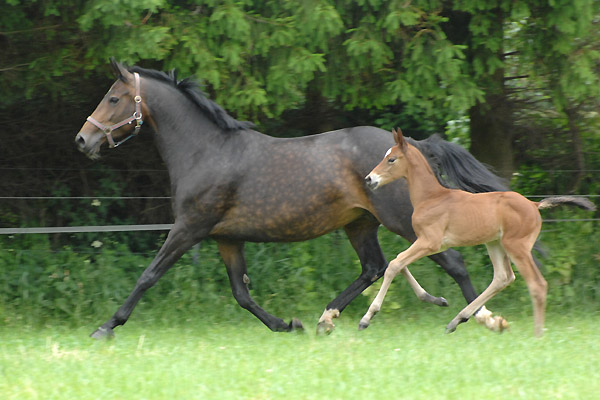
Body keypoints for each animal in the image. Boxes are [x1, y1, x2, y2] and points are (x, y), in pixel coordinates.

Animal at [72, 61, 508, 340]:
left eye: (114, 98)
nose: (82, 140)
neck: (206, 151)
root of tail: (409, 146)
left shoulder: (189, 228)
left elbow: (148, 276)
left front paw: (105, 327)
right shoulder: (226, 238)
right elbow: (241, 293)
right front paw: (286, 324)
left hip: (401, 219)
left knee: (451, 262)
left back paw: (480, 318)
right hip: (359, 223)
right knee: (373, 267)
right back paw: (325, 319)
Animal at [358, 128, 592, 334]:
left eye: (391, 159)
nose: (369, 179)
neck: (431, 197)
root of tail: (535, 205)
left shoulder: (429, 242)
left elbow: (395, 264)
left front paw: (367, 318)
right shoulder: (428, 243)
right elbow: (397, 262)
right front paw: (437, 300)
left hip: (517, 247)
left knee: (537, 284)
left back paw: (537, 334)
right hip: (495, 244)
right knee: (503, 277)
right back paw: (457, 320)